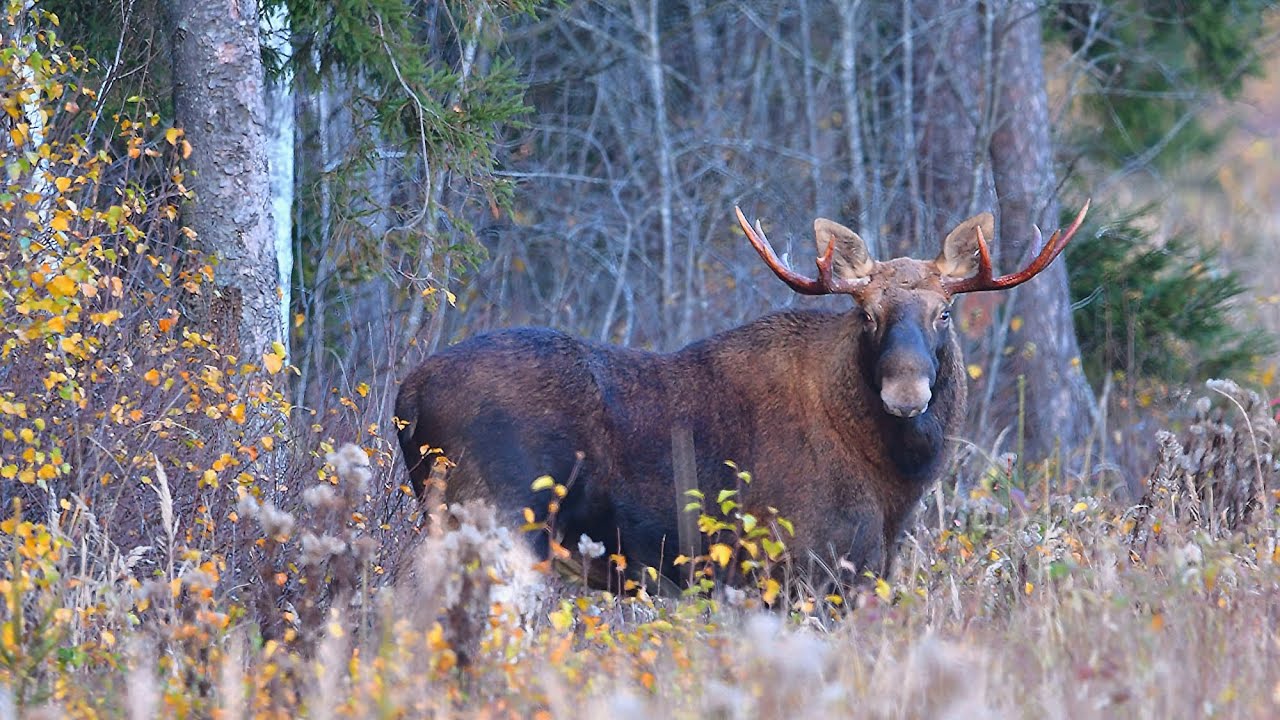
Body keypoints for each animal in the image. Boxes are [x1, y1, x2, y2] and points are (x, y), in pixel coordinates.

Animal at [396, 200, 1090, 586]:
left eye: (944, 313)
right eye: (868, 315)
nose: (905, 389)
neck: (896, 482)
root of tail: (407, 397)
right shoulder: (806, 564)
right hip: (498, 520)